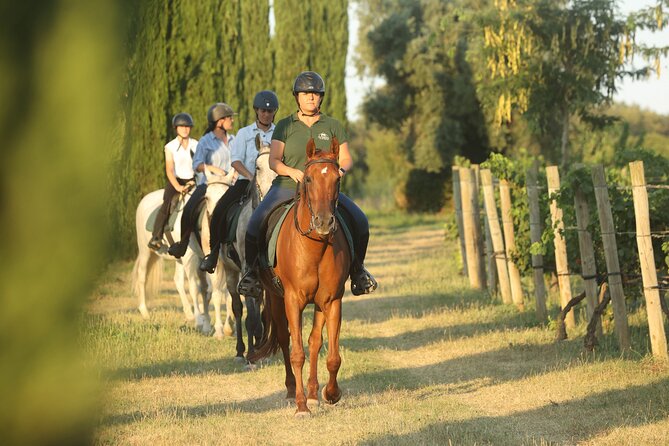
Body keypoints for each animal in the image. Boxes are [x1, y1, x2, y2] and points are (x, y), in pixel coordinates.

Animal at [249, 137, 351, 416]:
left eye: (337, 179)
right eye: (308, 179)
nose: (324, 222)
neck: (315, 246)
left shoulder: (331, 300)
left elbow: (331, 354)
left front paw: (330, 394)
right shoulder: (292, 300)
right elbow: (296, 353)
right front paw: (301, 406)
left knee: (314, 341)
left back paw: (314, 393)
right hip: (275, 297)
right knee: (285, 340)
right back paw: (291, 390)